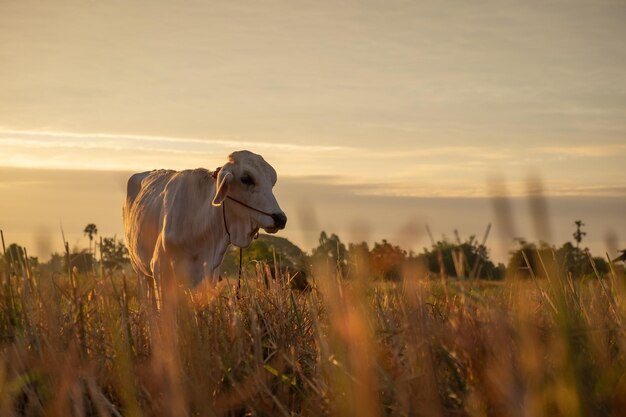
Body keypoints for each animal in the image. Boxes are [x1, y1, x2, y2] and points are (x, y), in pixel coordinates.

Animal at [122, 150, 288, 300]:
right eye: (246, 179)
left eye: (272, 182)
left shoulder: (208, 279)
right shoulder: (161, 275)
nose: (280, 218)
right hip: (141, 272)